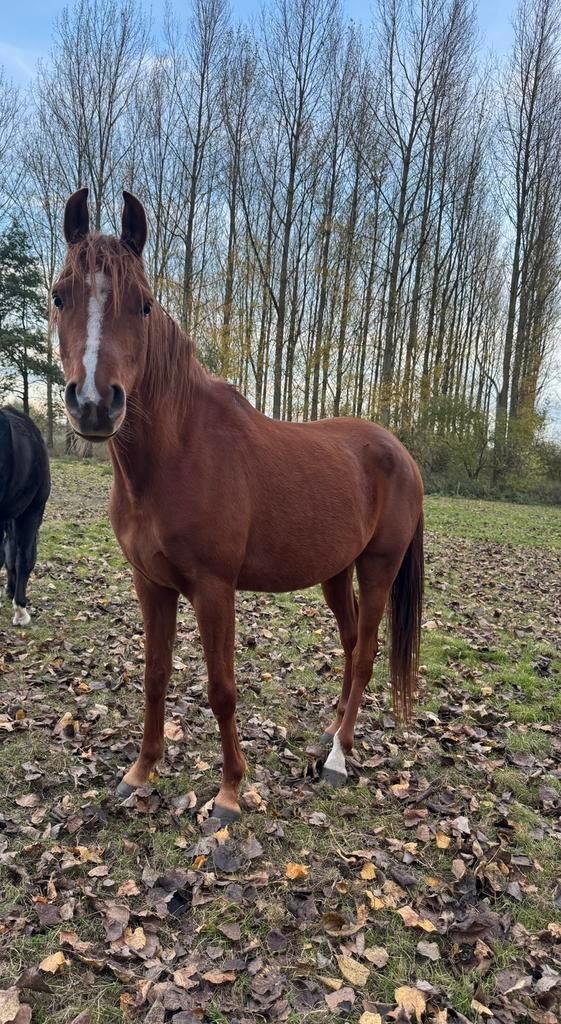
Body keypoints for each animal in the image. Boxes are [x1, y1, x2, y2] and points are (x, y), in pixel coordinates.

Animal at [54, 187, 424, 823]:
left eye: (143, 306)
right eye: (59, 296)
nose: (96, 405)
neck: (175, 455)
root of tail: (400, 451)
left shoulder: (213, 589)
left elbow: (222, 690)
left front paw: (229, 792)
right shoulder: (150, 584)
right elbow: (155, 677)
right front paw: (140, 772)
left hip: (378, 568)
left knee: (368, 652)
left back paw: (339, 757)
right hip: (336, 573)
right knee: (352, 645)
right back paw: (331, 732)